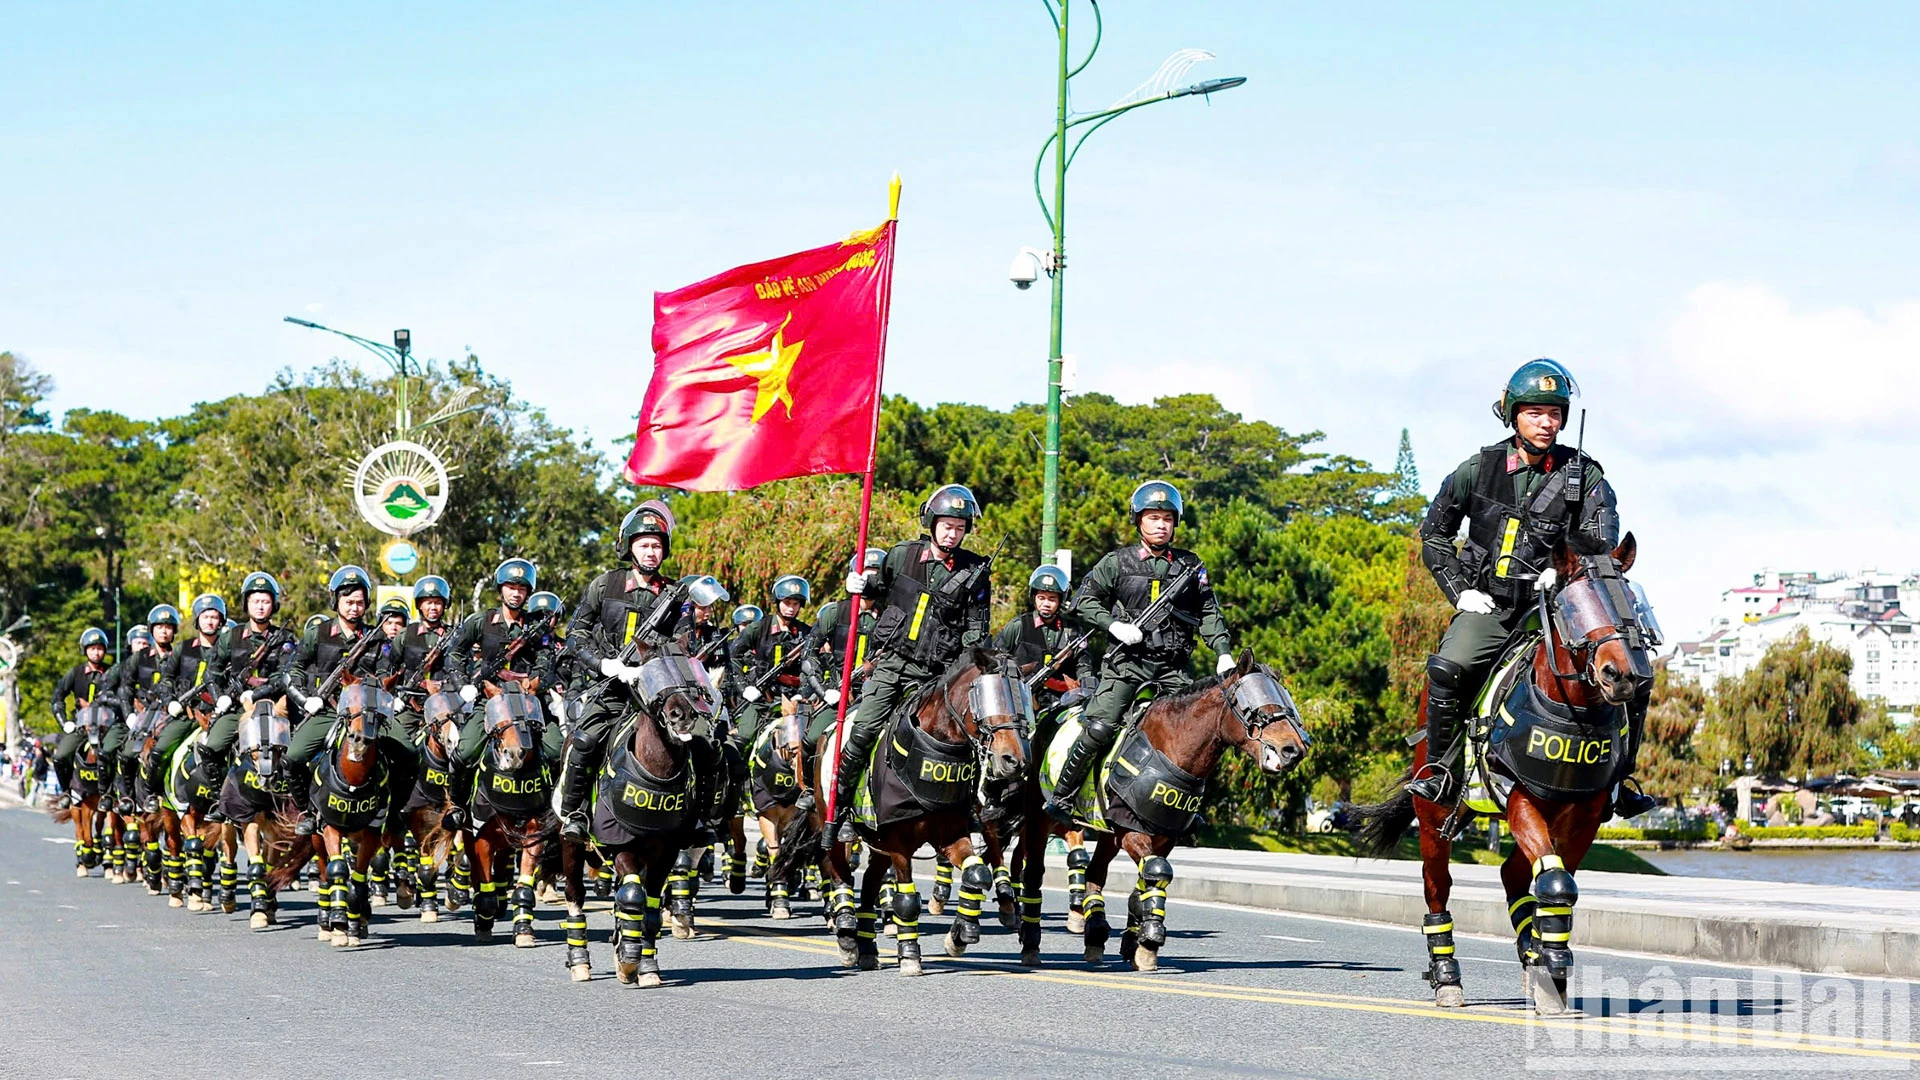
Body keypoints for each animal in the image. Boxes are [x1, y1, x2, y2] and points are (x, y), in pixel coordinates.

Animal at [1013, 653, 1313, 972]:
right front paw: (1150, 939)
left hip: (1106, 832)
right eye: (1254, 705)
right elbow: (1158, 871)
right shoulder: (1131, 831)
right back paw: (1030, 941)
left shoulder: (1164, 836)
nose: (1294, 750)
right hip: (1039, 816)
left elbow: (1145, 883)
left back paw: (1095, 934)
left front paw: (1137, 941)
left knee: (1094, 872)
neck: (1172, 747)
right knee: (1034, 871)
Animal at [1359, 534, 1658, 1014]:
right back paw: (1447, 975)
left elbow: (1557, 882)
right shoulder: (1518, 795)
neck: (1574, 713)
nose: (1626, 675)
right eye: (1572, 605)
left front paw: (1549, 966)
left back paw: (1530, 953)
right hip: (1433, 813)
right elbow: (1555, 880)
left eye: (1632, 601)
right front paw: (1551, 964)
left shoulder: (1585, 813)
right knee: (1436, 884)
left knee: (1512, 874)